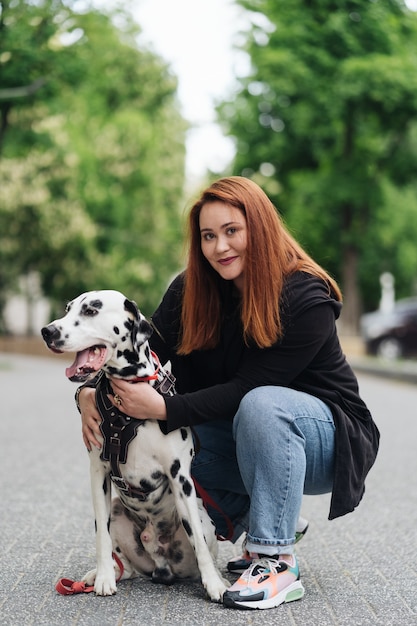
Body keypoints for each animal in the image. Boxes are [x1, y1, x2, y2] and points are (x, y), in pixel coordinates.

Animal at [41, 288, 229, 600]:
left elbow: (201, 547)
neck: (125, 409)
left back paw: (219, 578)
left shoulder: (180, 479)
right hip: (118, 511)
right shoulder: (99, 474)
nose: (47, 331)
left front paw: (214, 584)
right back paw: (103, 574)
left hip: (204, 520)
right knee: (124, 562)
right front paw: (105, 577)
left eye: (91, 310)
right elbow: (101, 537)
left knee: (202, 547)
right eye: (68, 309)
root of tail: (160, 563)